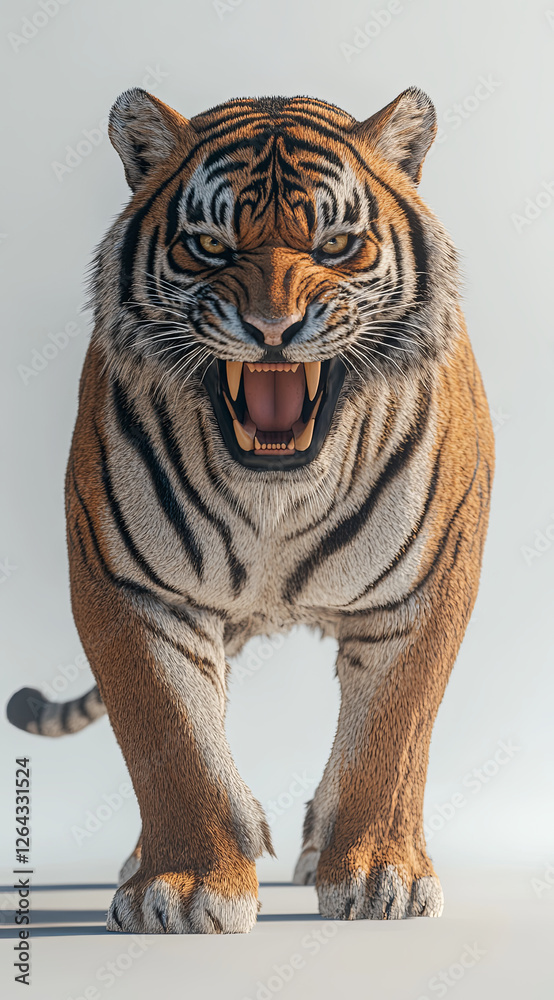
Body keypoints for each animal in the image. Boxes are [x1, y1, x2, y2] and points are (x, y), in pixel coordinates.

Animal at [7, 85, 494, 933]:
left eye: (336, 245)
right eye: (210, 245)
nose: (273, 329)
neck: (278, 495)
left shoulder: (427, 586)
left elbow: (392, 736)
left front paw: (380, 880)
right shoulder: (129, 589)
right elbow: (172, 738)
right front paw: (186, 886)